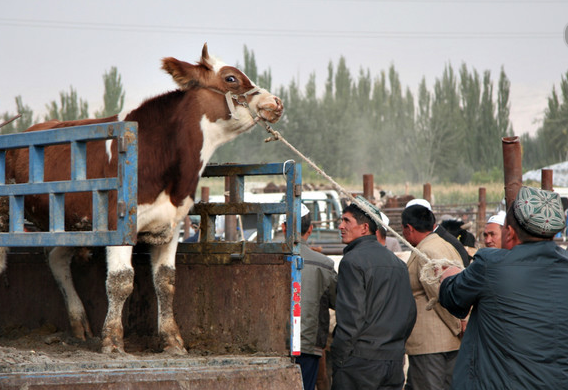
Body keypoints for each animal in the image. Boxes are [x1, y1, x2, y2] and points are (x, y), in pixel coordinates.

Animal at [0, 44, 284, 354]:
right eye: (231, 78)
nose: (275, 102)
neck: (161, 154)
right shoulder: (118, 225)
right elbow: (121, 281)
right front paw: (113, 340)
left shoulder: (170, 225)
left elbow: (166, 281)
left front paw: (172, 339)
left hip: (71, 224)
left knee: (57, 259)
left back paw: (79, 323)